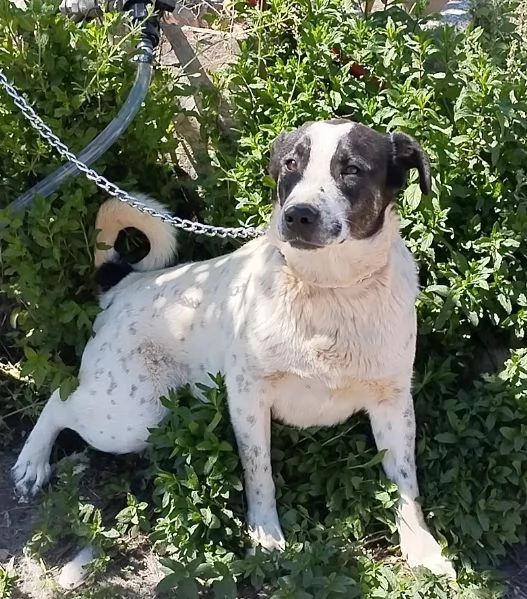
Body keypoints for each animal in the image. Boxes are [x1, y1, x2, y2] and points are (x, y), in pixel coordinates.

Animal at [13, 118, 458, 576]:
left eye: (351, 169)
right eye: (291, 164)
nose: (298, 214)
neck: (326, 291)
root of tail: (124, 285)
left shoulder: (393, 402)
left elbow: (406, 482)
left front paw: (421, 546)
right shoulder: (247, 395)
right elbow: (258, 471)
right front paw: (265, 537)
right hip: (129, 414)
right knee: (59, 400)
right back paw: (32, 462)